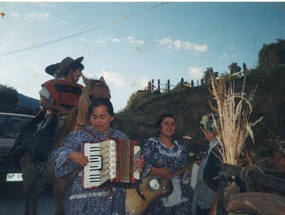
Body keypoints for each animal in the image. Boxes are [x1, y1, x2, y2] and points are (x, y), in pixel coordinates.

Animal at [19, 76, 110, 215]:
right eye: (92, 96)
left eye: (109, 97)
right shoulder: (59, 185)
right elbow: (59, 211)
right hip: (27, 173)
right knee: (27, 195)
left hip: (43, 178)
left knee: (35, 193)